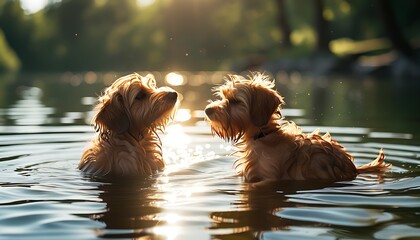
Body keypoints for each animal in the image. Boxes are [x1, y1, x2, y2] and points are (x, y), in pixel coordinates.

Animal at [205, 72, 392, 182]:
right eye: (223, 96)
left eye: (236, 101)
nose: (207, 110)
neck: (264, 135)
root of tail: (354, 169)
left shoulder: (268, 177)